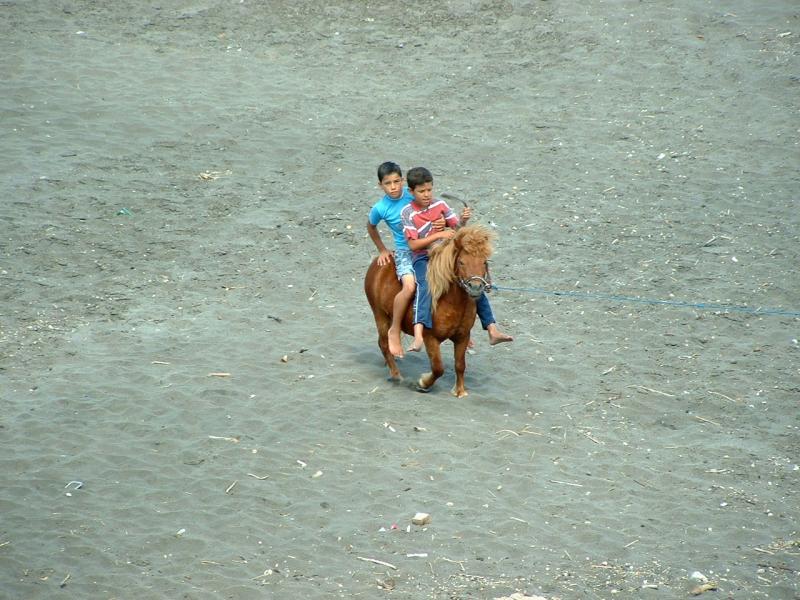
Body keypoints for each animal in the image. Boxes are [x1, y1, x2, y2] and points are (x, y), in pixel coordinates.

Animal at [364, 223, 494, 396]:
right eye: (461, 262)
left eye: (484, 262)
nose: (475, 287)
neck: (451, 301)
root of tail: (379, 261)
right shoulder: (430, 338)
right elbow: (438, 368)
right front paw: (423, 383)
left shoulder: (463, 336)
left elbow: (460, 365)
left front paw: (460, 391)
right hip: (380, 315)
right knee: (383, 343)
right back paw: (396, 375)